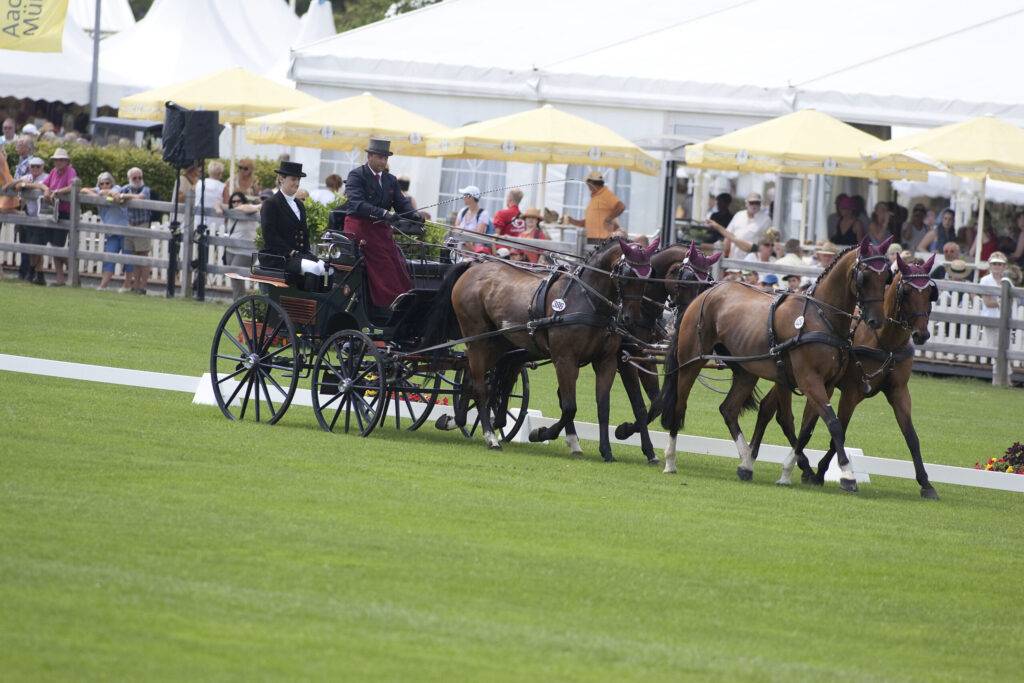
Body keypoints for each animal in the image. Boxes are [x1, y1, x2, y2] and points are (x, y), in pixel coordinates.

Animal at [421, 238, 658, 461]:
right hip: (478, 340)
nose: (630, 319)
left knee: (473, 379)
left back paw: (456, 420)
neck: (587, 301)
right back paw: (491, 437)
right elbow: (569, 407)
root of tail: (473, 266)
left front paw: (606, 450)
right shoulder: (565, 359)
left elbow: (603, 407)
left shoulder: (606, 361)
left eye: (648, 277)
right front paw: (542, 433)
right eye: (626, 274)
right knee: (481, 388)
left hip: (495, 343)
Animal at [614, 242, 721, 442]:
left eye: (704, 285)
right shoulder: (624, 360)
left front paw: (625, 429)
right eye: (685, 280)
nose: (689, 318)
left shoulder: (646, 359)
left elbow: (657, 404)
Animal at [660, 236, 893, 491]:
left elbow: (807, 429)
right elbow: (832, 424)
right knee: (679, 407)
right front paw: (847, 474)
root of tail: (707, 292)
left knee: (728, 409)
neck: (819, 317)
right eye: (864, 276)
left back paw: (746, 462)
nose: (876, 321)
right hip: (690, 363)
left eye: (887, 277)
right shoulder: (809, 380)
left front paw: (789, 471)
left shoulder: (826, 384)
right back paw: (670, 461)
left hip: (746, 370)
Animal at [754, 254, 939, 498]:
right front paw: (826, 472)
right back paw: (802, 466)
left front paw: (926, 483)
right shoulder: (851, 392)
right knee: (786, 418)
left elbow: (911, 436)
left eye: (930, 293)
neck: (885, 342)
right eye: (906, 291)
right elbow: (838, 430)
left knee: (770, 409)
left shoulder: (899, 391)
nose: (922, 334)